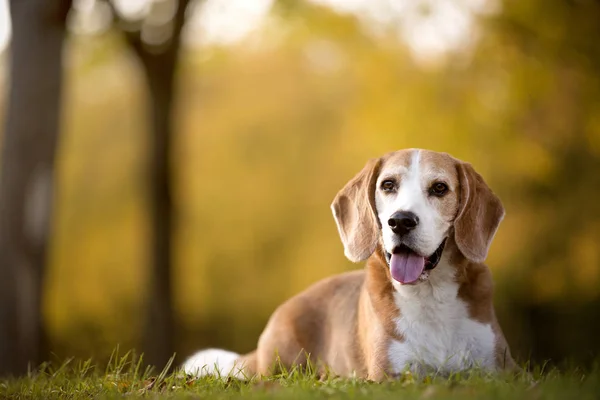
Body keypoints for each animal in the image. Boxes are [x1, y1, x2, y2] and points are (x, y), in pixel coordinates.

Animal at [183, 149, 516, 378]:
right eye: (388, 185)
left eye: (439, 188)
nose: (400, 221)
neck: (431, 295)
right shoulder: (389, 376)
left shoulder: (502, 371)